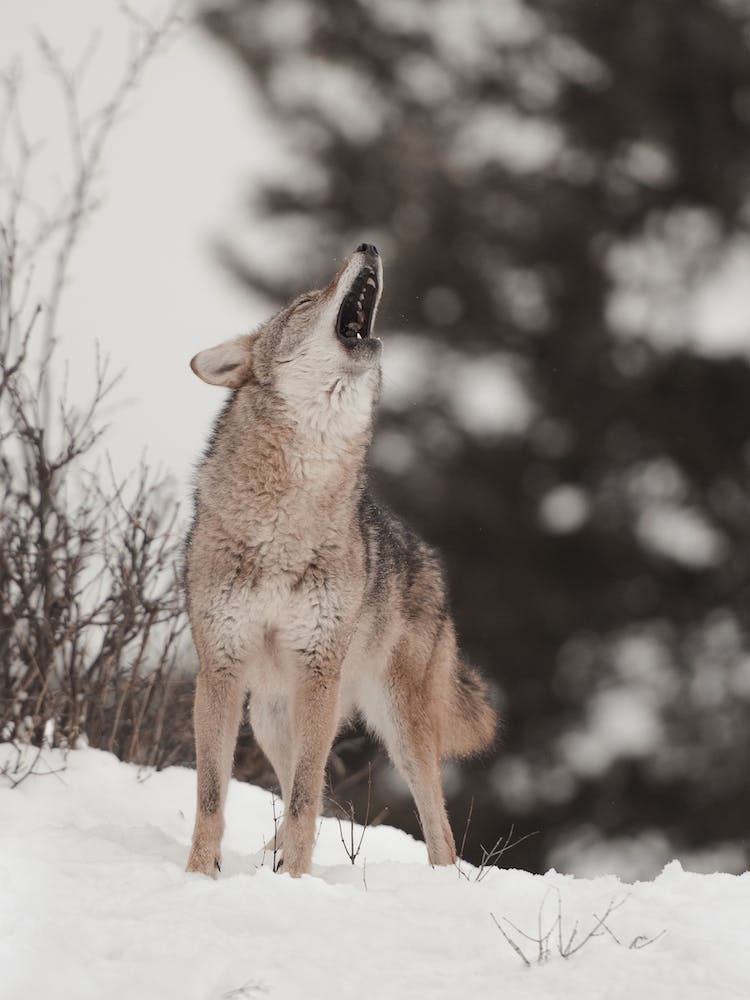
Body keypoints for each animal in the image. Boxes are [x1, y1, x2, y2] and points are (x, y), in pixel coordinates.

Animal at [185, 244, 496, 878]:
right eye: (306, 300)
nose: (369, 246)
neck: (286, 519)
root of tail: (430, 561)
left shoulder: (317, 669)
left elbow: (304, 800)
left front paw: (296, 883)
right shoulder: (220, 668)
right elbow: (212, 794)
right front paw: (200, 876)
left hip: (396, 722)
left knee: (438, 829)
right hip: (272, 716)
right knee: (313, 789)